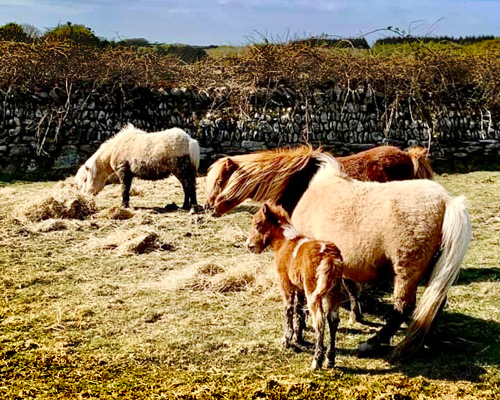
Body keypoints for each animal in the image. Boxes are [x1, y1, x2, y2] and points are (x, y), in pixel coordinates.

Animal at [246, 202, 344, 370]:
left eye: (258, 224)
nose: (249, 246)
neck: (285, 242)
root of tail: (330, 257)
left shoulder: (285, 283)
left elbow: (288, 309)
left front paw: (286, 340)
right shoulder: (300, 288)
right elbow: (299, 309)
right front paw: (298, 336)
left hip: (314, 290)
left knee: (319, 321)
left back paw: (317, 360)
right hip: (334, 291)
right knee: (333, 319)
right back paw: (330, 359)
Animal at [292, 153, 470, 360]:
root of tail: (446, 201)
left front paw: (299, 334)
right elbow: (350, 288)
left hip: (406, 272)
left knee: (403, 307)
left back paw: (373, 344)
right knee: (435, 303)